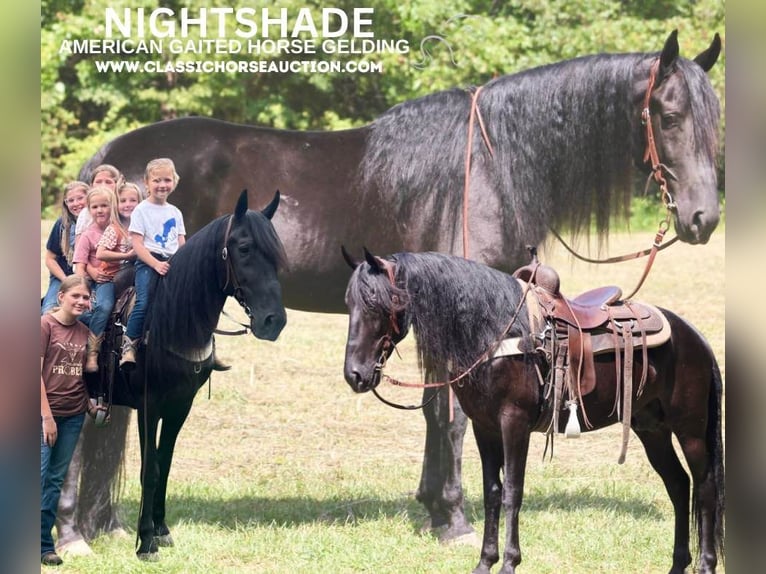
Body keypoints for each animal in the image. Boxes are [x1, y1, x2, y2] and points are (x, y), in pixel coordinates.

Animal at [107, 191, 288, 560]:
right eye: (244, 248)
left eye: (276, 253)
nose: (273, 321)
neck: (170, 320)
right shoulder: (149, 406)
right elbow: (150, 469)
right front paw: (145, 541)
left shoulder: (180, 405)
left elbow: (164, 463)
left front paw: (161, 531)